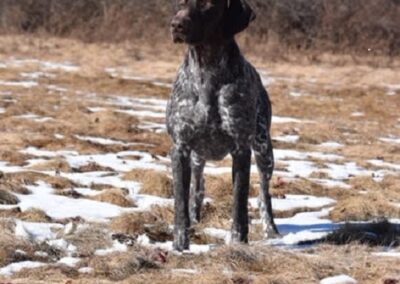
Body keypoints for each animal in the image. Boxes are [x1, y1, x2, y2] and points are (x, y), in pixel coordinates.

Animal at [166, 0, 278, 251]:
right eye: (181, 3)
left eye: (207, 4)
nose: (176, 24)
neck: (207, 69)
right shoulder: (180, 148)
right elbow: (180, 204)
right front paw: (180, 245)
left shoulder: (241, 150)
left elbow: (239, 204)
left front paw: (238, 241)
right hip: (198, 157)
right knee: (197, 189)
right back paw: (195, 218)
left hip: (264, 151)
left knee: (264, 194)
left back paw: (271, 230)